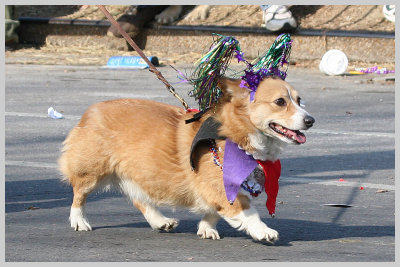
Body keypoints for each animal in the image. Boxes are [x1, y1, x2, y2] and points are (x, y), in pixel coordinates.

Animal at [59, 75, 314, 243]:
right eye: (280, 101)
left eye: (299, 100)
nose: (310, 120)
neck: (236, 133)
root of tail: (90, 111)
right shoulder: (223, 188)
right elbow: (248, 212)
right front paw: (263, 231)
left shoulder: (216, 190)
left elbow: (213, 212)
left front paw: (206, 228)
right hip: (91, 172)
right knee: (78, 195)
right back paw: (79, 221)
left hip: (139, 171)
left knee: (140, 198)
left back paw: (160, 221)